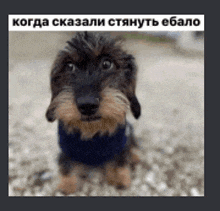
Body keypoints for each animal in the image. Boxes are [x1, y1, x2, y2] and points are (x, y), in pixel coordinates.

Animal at [45, 31, 141, 195]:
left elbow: (120, 159)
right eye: (69, 66)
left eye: (107, 64)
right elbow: (66, 164)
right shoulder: (65, 149)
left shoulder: (120, 143)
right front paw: (67, 184)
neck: (93, 132)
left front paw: (119, 177)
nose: (87, 104)